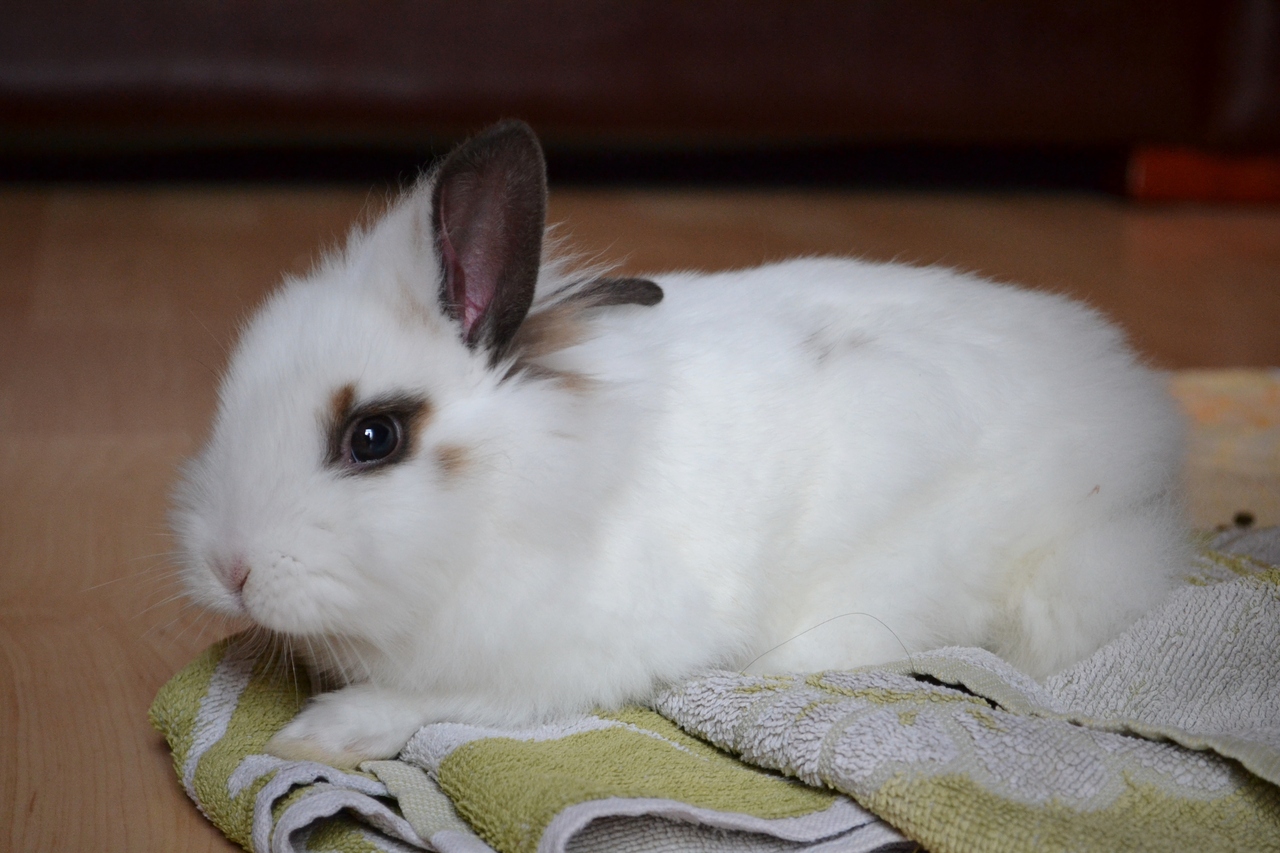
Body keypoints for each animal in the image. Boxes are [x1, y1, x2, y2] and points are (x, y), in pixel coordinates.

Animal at [172, 120, 1187, 768]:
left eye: (373, 436)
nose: (228, 569)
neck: (528, 484)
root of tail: (1141, 425)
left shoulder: (555, 659)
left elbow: (428, 701)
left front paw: (318, 735)